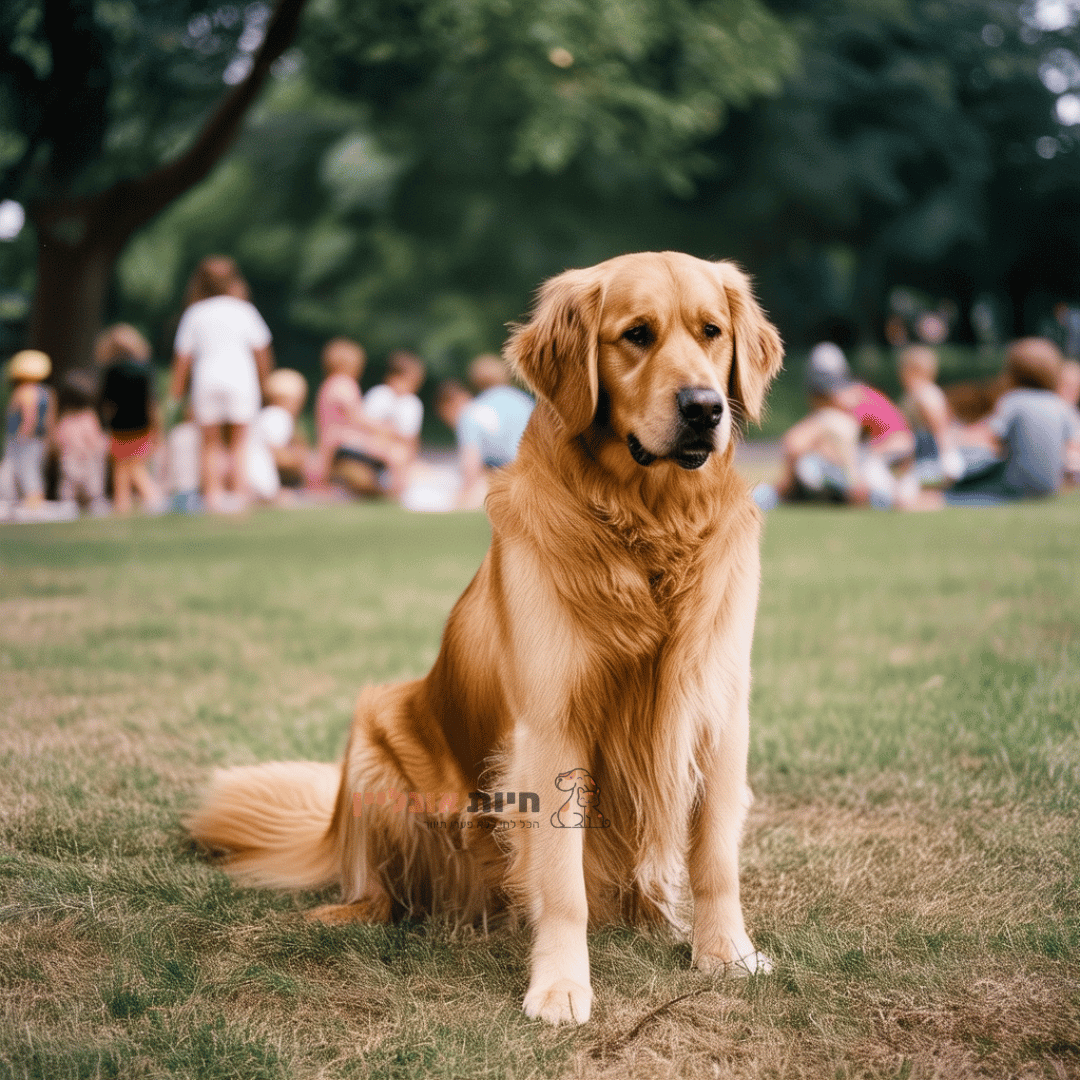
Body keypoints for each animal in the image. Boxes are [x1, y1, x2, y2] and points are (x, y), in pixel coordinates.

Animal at [187, 248, 786, 1023]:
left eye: (712, 332)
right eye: (637, 335)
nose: (705, 408)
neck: (647, 526)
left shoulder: (718, 709)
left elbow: (715, 860)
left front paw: (726, 955)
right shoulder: (552, 726)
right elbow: (562, 883)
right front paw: (561, 985)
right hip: (375, 732)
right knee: (378, 890)